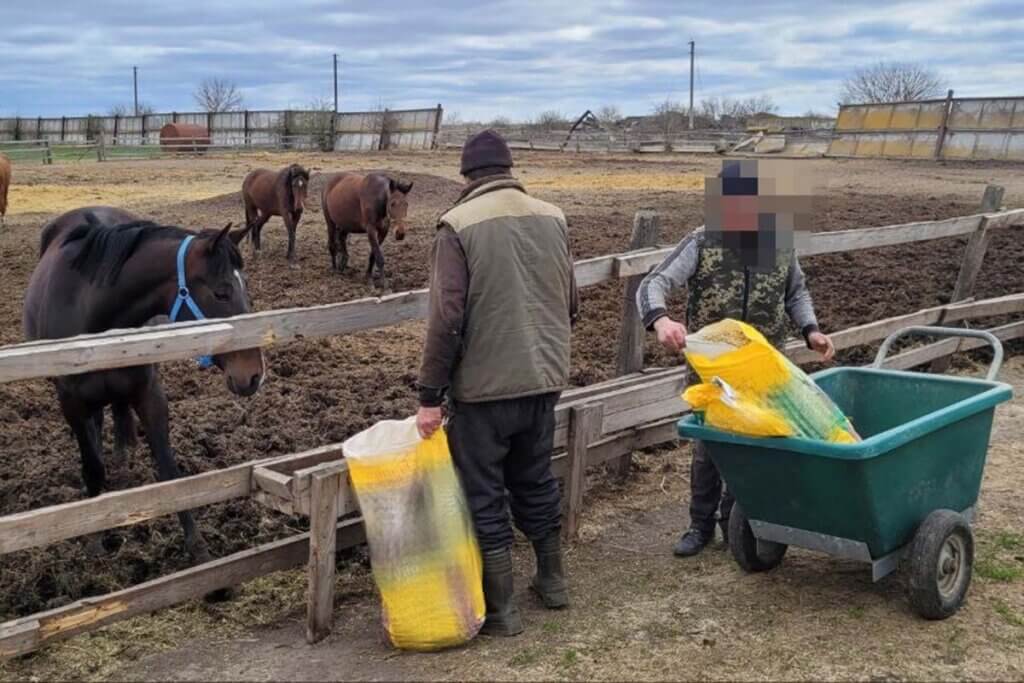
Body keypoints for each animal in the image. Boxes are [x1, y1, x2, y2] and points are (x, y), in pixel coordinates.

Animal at [24, 205, 266, 565]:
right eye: (221, 291)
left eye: (246, 287)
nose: (253, 374)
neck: (91, 310)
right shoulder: (72, 405)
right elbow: (93, 468)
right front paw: (94, 537)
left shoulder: (149, 394)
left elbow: (168, 470)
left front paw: (197, 547)